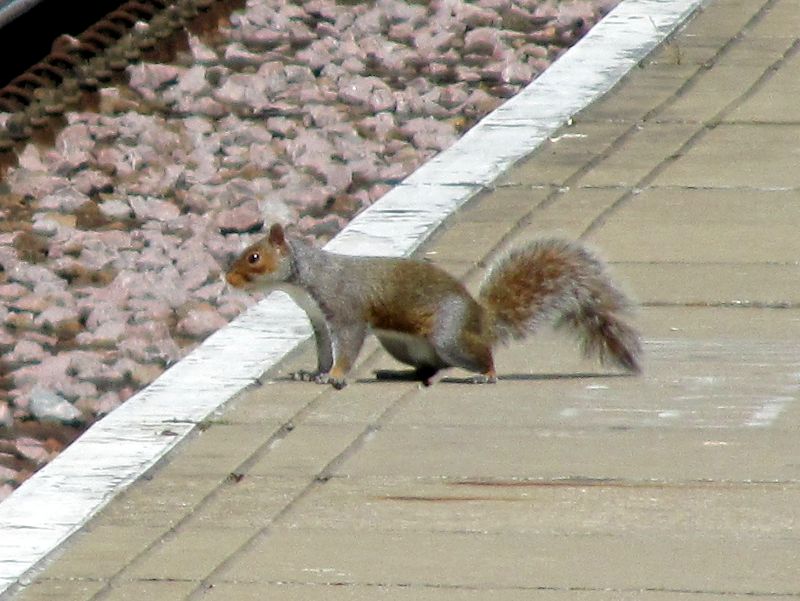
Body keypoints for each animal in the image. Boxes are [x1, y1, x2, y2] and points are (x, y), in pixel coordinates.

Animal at [228, 224, 640, 390]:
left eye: (253, 257)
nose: (226, 278)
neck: (304, 281)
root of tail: (479, 319)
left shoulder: (345, 311)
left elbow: (346, 346)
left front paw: (337, 376)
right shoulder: (317, 320)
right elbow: (323, 350)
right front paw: (313, 372)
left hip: (448, 336)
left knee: (478, 355)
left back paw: (485, 375)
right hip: (402, 343)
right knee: (429, 366)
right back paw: (396, 374)